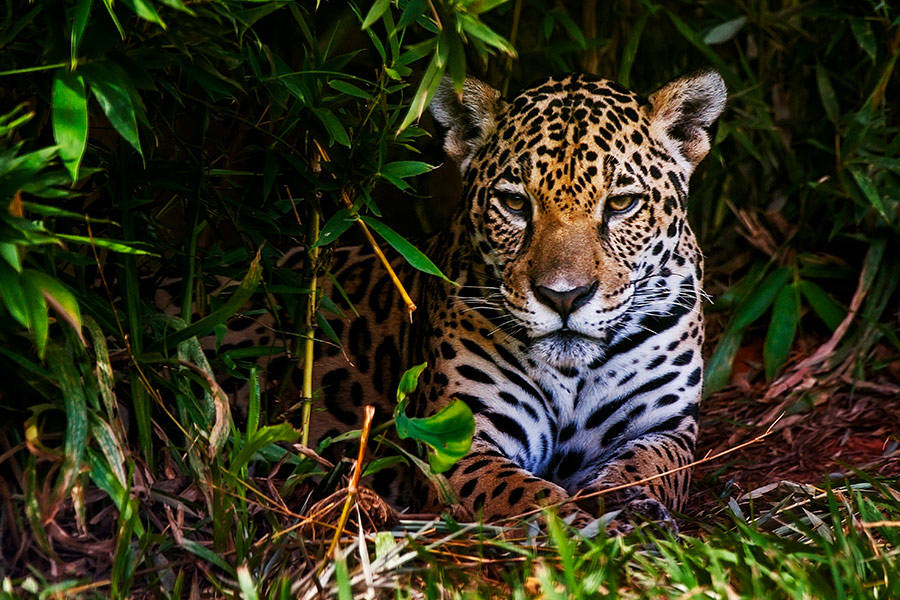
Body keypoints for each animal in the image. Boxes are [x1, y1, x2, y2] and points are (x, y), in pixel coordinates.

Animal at [206, 70, 726, 532]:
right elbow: (528, 496)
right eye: (515, 204)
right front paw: (585, 529)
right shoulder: (455, 440)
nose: (564, 296)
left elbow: (649, 468)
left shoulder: (665, 427)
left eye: (621, 204)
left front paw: (631, 510)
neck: (572, 374)